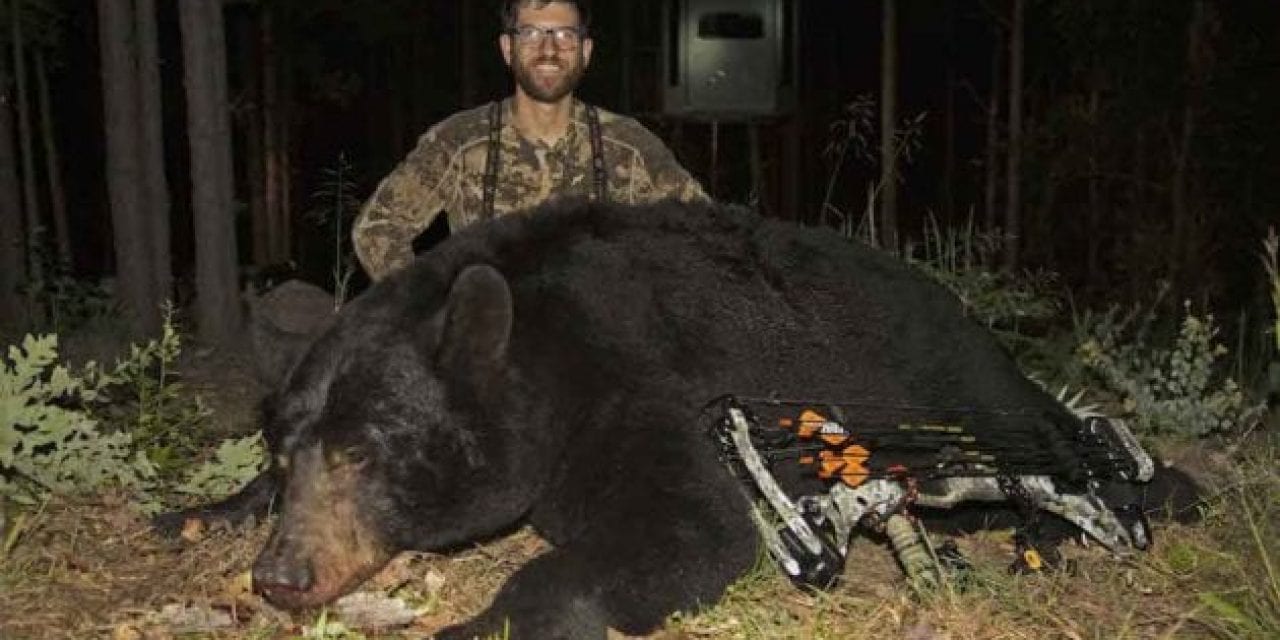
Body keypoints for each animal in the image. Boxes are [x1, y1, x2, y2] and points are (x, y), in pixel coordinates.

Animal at [165, 197, 1192, 637]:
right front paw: (201, 510)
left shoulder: (648, 385)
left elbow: (685, 532)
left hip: (958, 378)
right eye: (290, 453)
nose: (282, 579)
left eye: (365, 455)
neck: (546, 349)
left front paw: (476, 625)